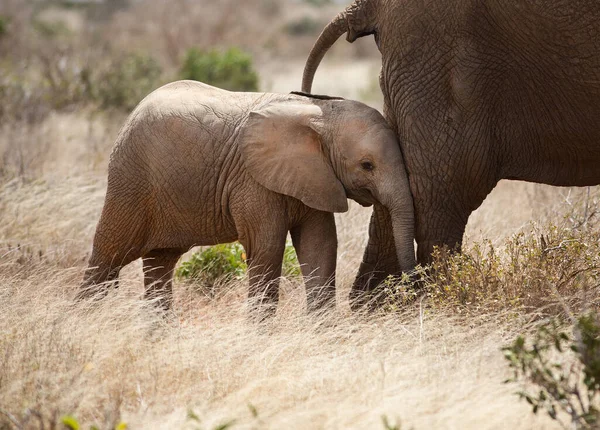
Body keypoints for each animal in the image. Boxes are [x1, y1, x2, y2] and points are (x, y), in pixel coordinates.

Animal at [79, 80, 414, 316]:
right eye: (367, 165)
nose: (412, 284)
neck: (321, 112)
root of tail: (134, 111)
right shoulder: (253, 182)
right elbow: (266, 248)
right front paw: (261, 336)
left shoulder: (316, 177)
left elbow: (320, 246)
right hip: (130, 179)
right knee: (108, 255)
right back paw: (83, 321)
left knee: (160, 263)